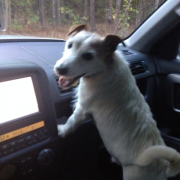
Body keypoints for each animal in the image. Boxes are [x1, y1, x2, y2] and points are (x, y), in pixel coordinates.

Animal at [54, 25, 180, 180]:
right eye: (70, 45)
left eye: (88, 56)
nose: (59, 69)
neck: (105, 68)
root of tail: (164, 169)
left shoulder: (82, 109)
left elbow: (71, 122)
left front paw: (62, 130)